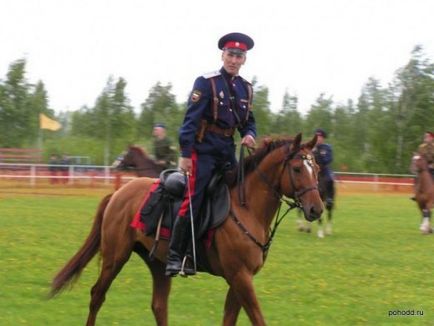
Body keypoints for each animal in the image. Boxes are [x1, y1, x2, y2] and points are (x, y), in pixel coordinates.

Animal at [50, 134, 322, 326]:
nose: (316, 209)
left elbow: (229, 319)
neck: (245, 207)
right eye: (297, 169)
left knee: (159, 306)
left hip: (158, 263)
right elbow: (257, 319)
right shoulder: (240, 277)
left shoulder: (240, 279)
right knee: (97, 295)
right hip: (115, 256)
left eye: (316, 169)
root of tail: (118, 193)